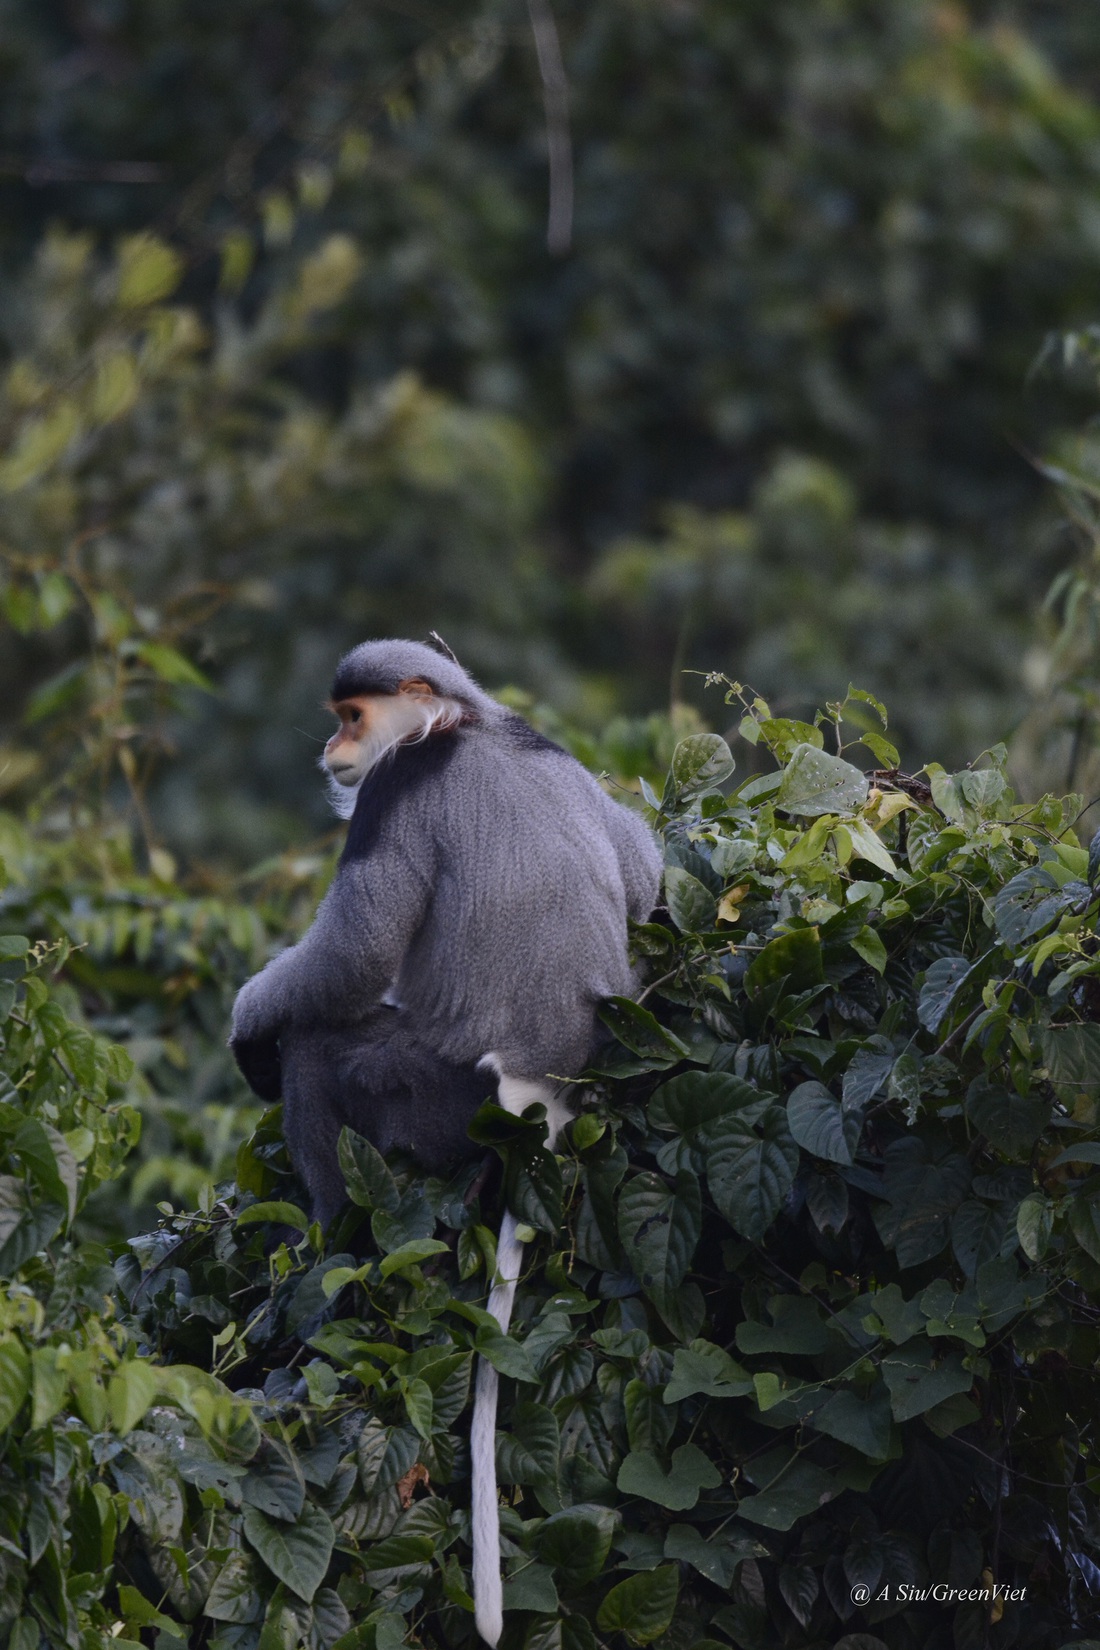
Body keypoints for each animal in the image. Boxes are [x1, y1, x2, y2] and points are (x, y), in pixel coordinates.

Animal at [230, 636, 662, 1643]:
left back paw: (326, 1244)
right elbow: (643, 865)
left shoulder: (396, 787)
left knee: (319, 1050)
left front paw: (248, 1027)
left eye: (353, 719)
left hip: (432, 1095)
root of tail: (544, 1097)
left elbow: (356, 955)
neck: (460, 725)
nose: (331, 749)